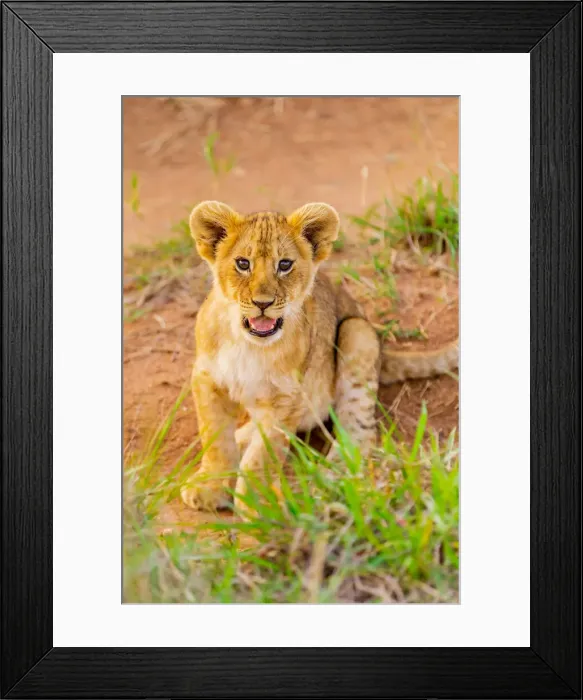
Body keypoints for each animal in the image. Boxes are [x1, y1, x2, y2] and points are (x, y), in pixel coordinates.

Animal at [181, 201, 458, 517]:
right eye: (242, 263)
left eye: (284, 265)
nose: (263, 303)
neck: (248, 344)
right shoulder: (207, 380)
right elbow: (215, 439)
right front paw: (210, 486)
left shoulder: (285, 399)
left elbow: (262, 456)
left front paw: (257, 504)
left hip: (357, 333)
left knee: (360, 435)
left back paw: (334, 478)